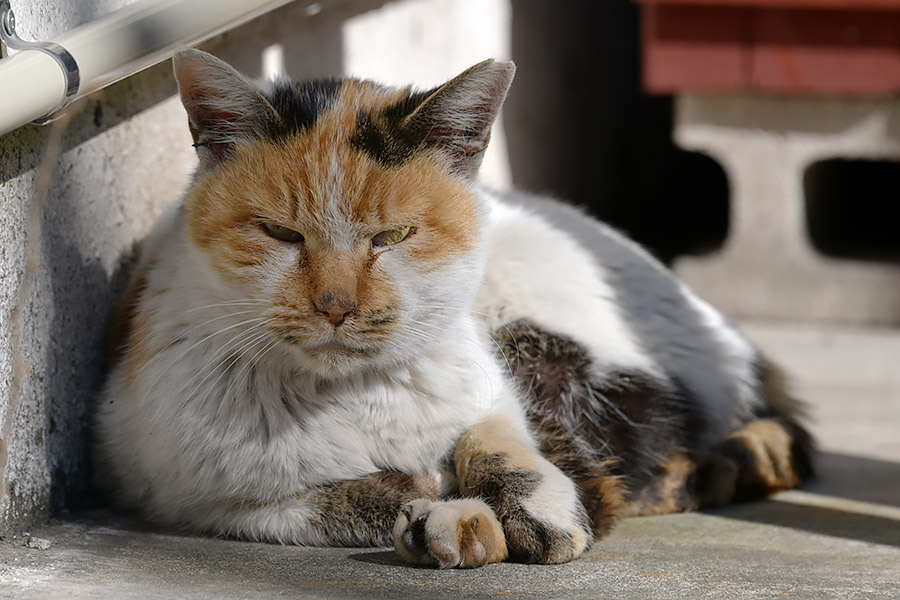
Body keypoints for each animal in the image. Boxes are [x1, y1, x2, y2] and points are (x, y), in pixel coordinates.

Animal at [93, 48, 816, 568]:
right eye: (281, 234)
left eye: (392, 237)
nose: (335, 306)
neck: (353, 394)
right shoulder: (169, 484)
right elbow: (297, 506)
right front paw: (415, 500)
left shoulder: (495, 391)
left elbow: (507, 445)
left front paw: (530, 514)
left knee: (646, 471)